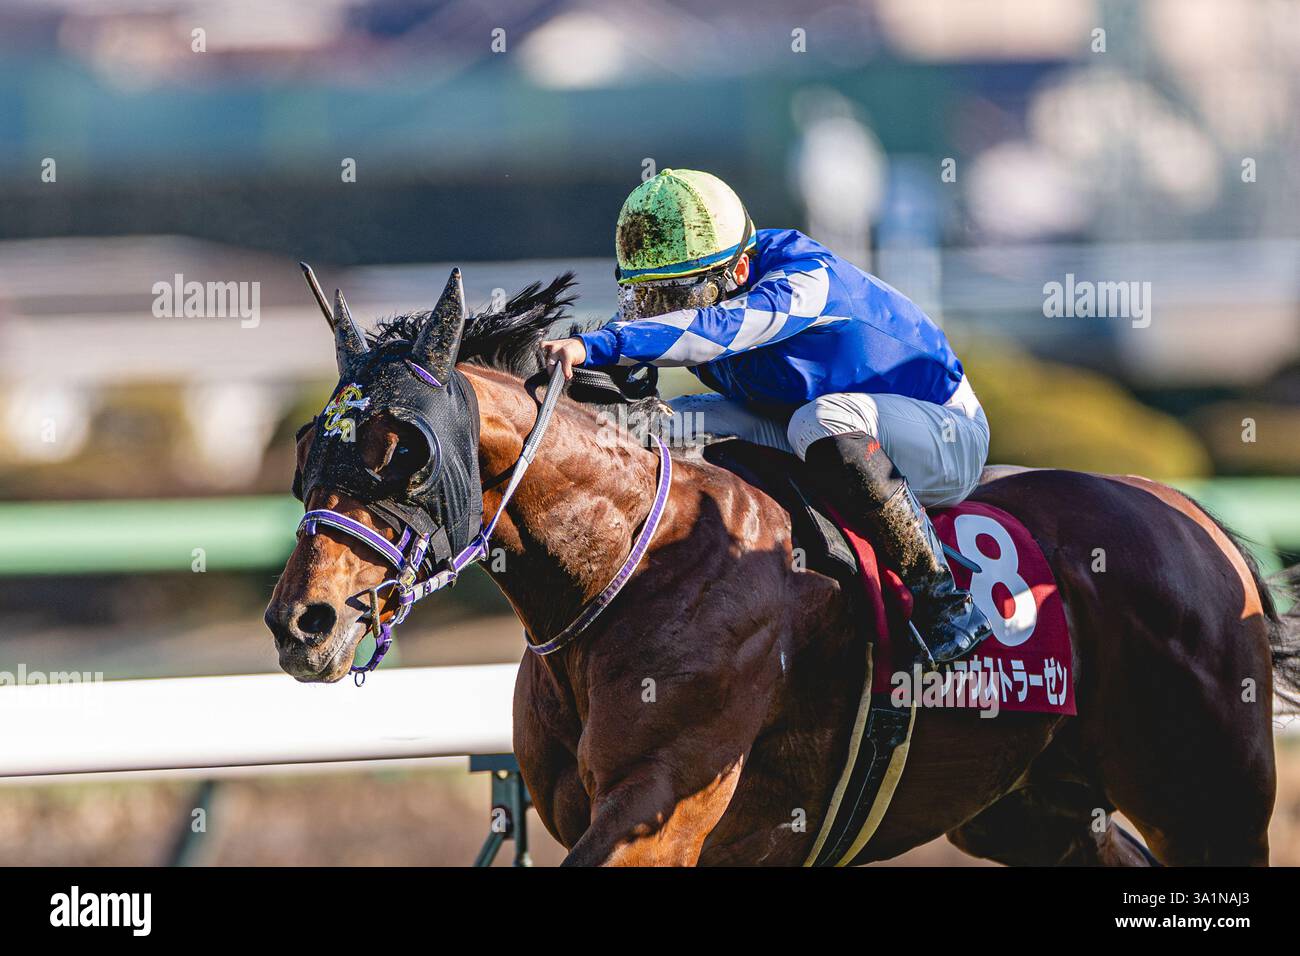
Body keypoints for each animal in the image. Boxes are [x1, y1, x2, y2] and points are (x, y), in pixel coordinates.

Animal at [266, 277, 1300, 868]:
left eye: (402, 451)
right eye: (312, 446)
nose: (302, 622)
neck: (625, 568)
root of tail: (1188, 514)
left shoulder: (659, 811)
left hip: (1209, 800)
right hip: (1033, 809)